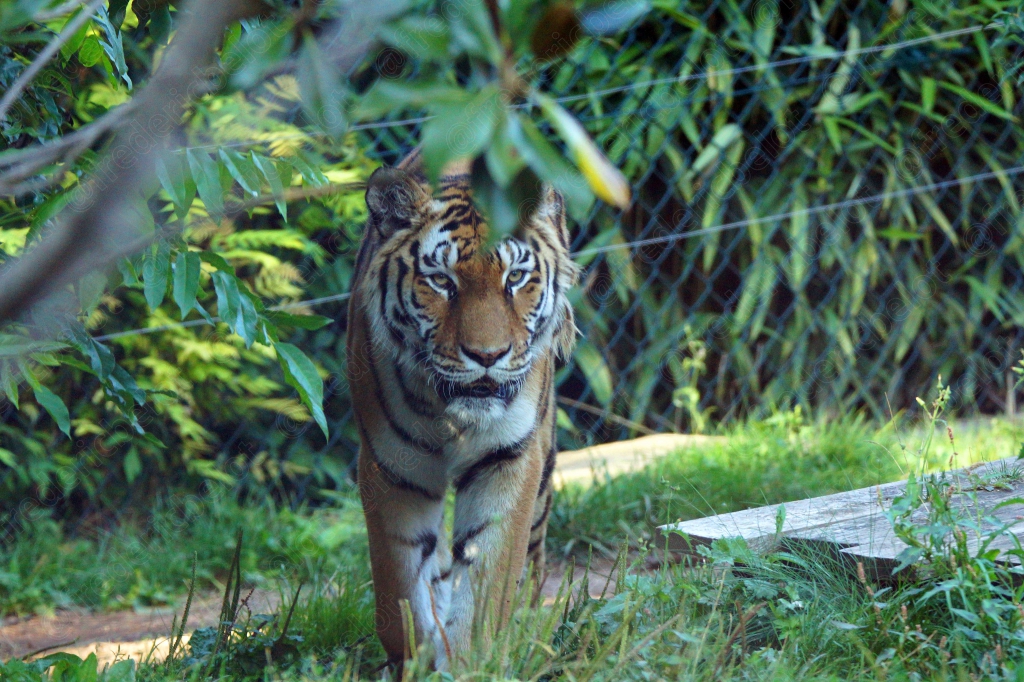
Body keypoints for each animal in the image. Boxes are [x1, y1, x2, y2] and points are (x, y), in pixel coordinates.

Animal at [346, 148, 579, 671]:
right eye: (441, 281)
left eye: (515, 278)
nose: (487, 355)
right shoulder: (392, 468)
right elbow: (400, 593)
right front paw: (417, 660)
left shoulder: (510, 457)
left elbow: (489, 577)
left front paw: (473, 659)